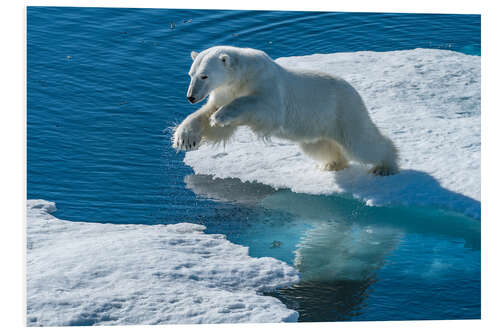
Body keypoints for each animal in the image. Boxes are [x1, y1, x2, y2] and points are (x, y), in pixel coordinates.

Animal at [172, 47, 398, 176]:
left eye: (204, 76)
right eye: (191, 74)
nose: (190, 97)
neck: (242, 76)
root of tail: (354, 92)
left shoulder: (267, 84)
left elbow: (264, 108)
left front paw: (221, 115)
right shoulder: (223, 91)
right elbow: (211, 119)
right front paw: (185, 138)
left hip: (342, 110)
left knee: (362, 143)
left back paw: (384, 166)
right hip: (316, 127)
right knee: (319, 146)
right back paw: (332, 164)